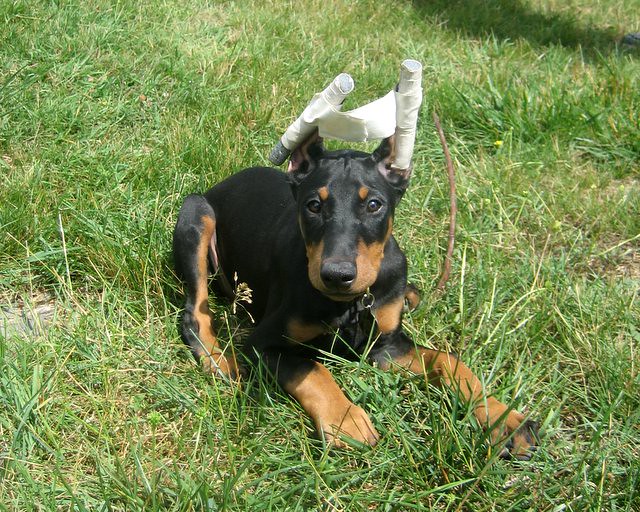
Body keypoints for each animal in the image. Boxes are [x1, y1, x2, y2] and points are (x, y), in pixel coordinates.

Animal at [172, 134, 536, 458]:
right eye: (313, 205)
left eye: (374, 204)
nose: (337, 276)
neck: (352, 303)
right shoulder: (263, 343)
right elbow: (312, 368)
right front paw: (347, 420)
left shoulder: (386, 346)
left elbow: (448, 360)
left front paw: (504, 420)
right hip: (196, 213)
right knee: (195, 313)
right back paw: (221, 362)